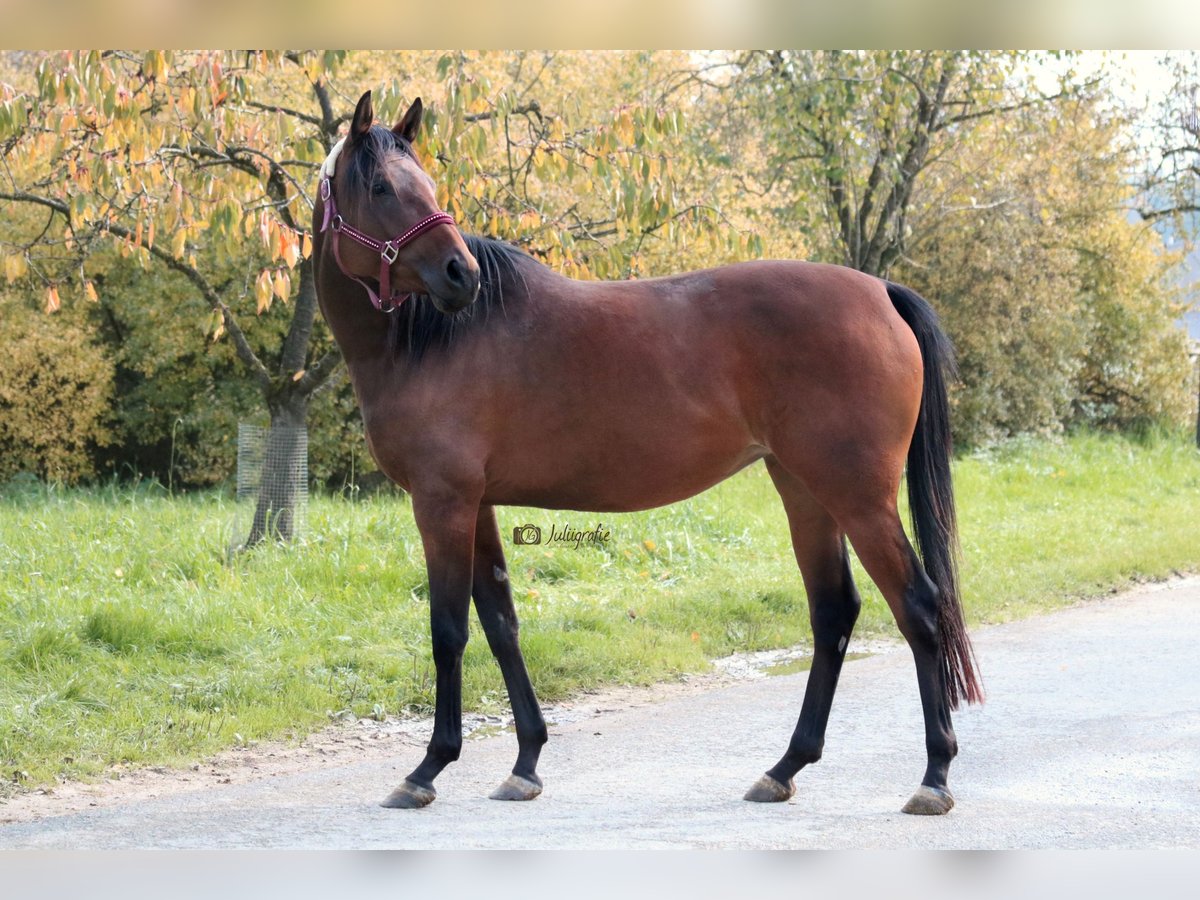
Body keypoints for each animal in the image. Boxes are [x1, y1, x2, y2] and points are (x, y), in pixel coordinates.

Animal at [314, 91, 979, 816]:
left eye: (425, 186)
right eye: (383, 187)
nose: (460, 274)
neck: (430, 339)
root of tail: (881, 291)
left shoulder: (443, 504)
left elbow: (448, 631)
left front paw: (428, 768)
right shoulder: (477, 504)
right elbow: (501, 623)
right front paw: (525, 763)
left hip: (858, 496)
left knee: (919, 607)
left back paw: (935, 775)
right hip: (804, 488)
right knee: (833, 611)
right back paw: (784, 768)